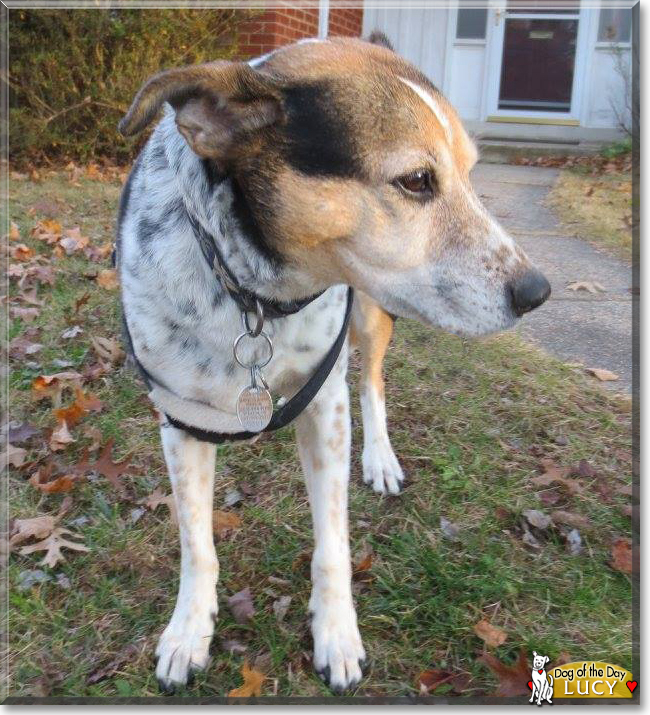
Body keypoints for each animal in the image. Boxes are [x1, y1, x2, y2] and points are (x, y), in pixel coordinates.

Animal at [116, 33, 548, 692]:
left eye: (471, 175)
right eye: (416, 180)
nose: (537, 291)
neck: (258, 294)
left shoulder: (326, 404)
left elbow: (332, 546)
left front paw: (337, 634)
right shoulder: (180, 420)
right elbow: (197, 545)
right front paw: (189, 632)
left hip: (368, 315)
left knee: (372, 381)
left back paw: (381, 459)